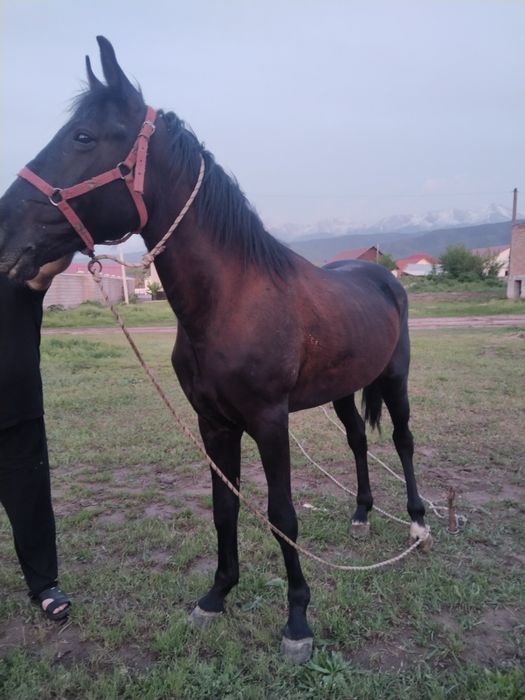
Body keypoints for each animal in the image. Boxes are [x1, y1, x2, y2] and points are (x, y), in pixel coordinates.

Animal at [0, 37, 430, 662]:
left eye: (82, 136)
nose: (4, 234)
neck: (230, 300)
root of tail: (382, 277)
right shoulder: (214, 424)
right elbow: (225, 509)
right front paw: (216, 596)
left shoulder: (270, 421)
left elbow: (281, 516)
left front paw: (297, 622)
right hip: (343, 390)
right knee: (357, 442)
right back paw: (361, 515)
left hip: (394, 380)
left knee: (401, 441)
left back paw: (419, 524)